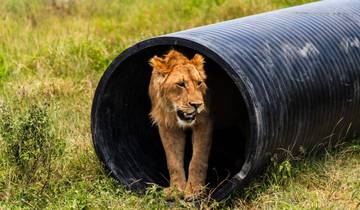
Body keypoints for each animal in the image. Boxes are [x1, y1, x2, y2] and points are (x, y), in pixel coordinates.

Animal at [148, 49, 212, 199]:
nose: (197, 105)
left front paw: (195, 190)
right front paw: (176, 189)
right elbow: (173, 161)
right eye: (181, 84)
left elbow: (198, 159)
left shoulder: (203, 122)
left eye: (199, 83)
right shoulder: (168, 127)